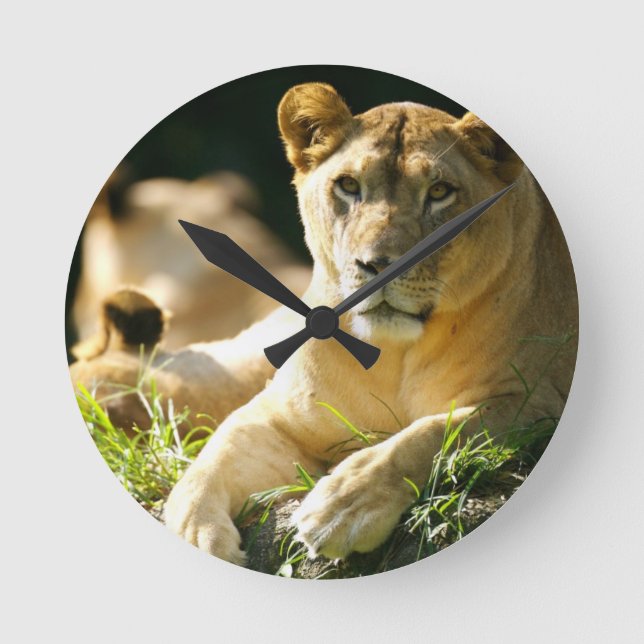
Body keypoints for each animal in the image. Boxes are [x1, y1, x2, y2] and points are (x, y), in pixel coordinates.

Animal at [71, 82, 577, 566]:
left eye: (439, 192)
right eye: (349, 185)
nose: (376, 264)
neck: (390, 356)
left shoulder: (532, 402)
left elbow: (433, 434)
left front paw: (344, 507)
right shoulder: (278, 414)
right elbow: (212, 459)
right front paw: (197, 535)